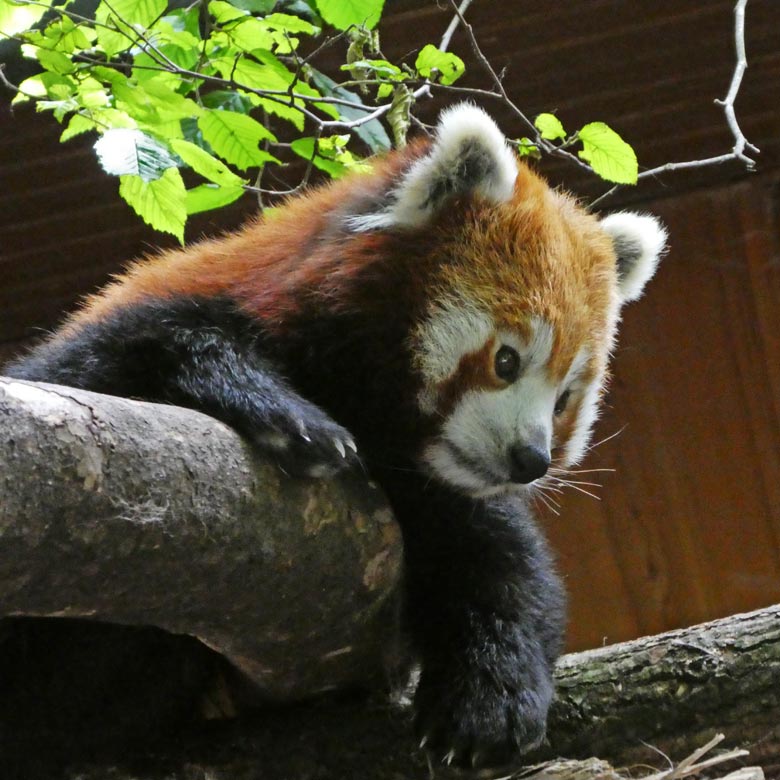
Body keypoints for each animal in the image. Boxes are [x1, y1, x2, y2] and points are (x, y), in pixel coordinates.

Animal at [3, 103, 668, 768]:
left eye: (564, 401)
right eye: (506, 361)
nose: (530, 459)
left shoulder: (434, 490)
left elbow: (501, 557)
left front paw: (494, 699)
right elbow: (130, 351)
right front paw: (286, 416)